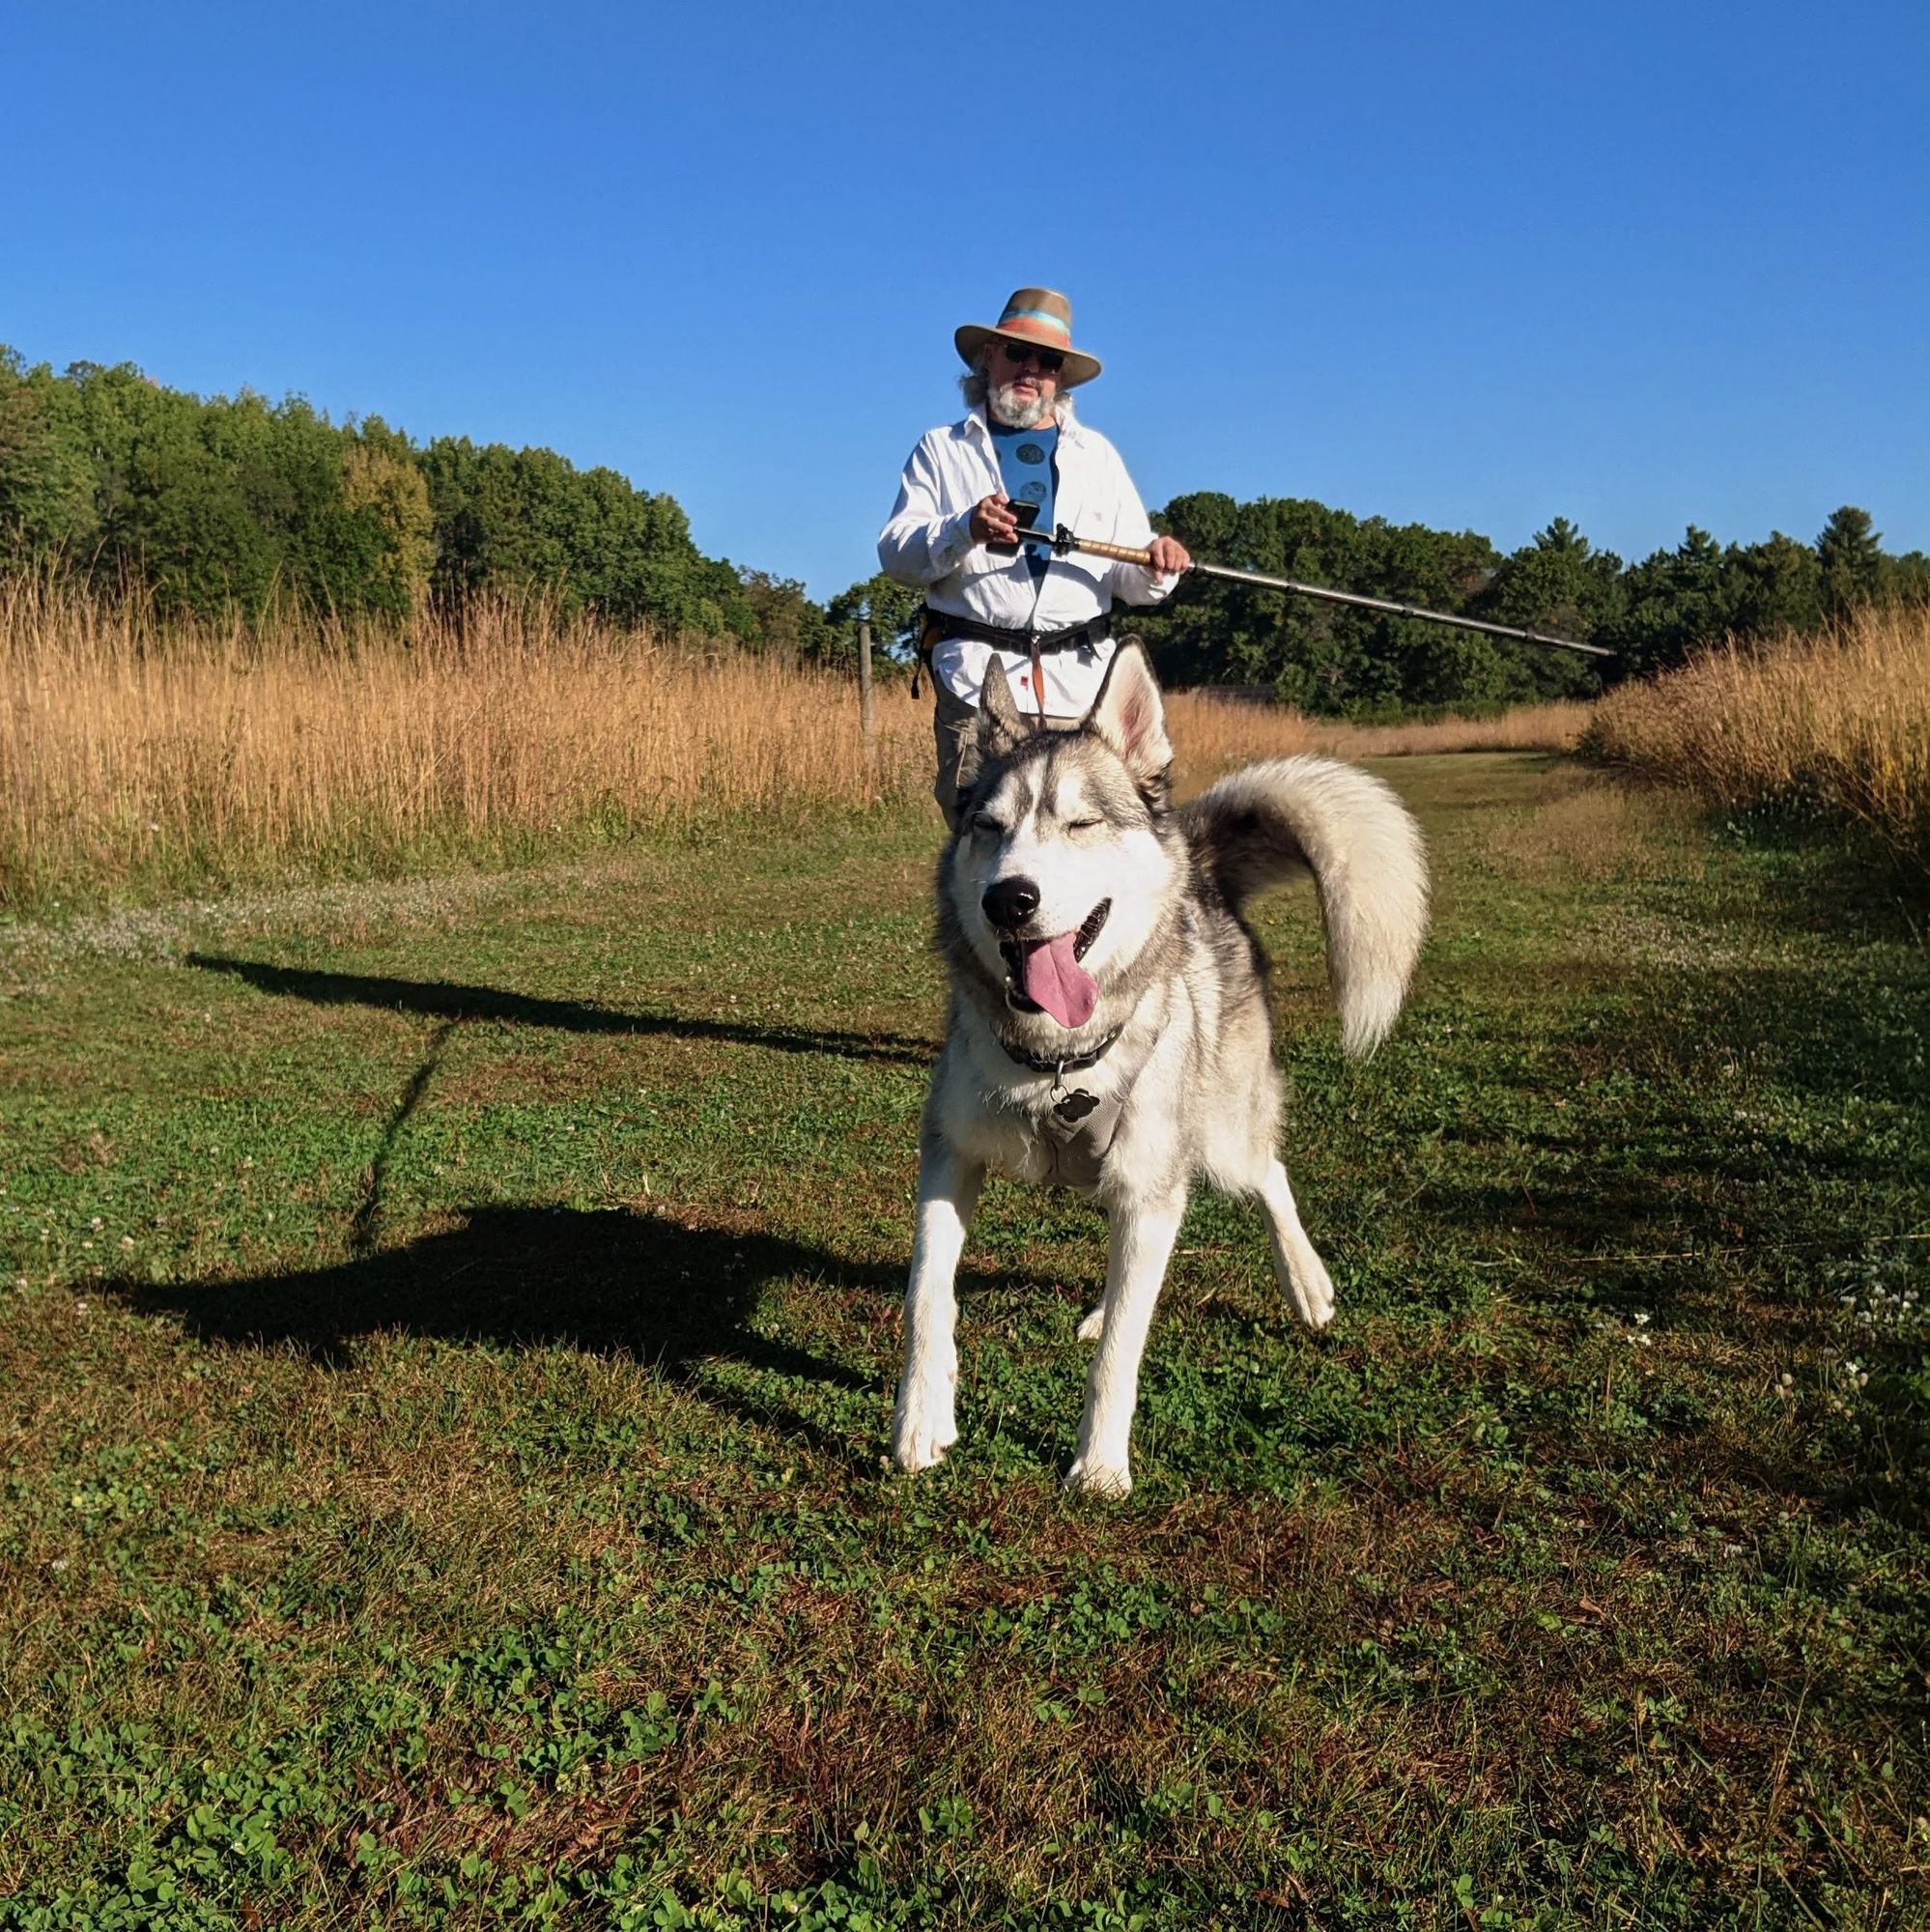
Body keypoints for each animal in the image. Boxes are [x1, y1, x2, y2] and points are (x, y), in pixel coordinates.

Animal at [893, 641, 1437, 1499]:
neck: (1056, 1062)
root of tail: (1201, 869)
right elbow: (927, 1299)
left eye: (1082, 823)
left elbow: (1123, 1348)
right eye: (988, 826)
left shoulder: (1153, 1189)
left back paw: (1305, 1283)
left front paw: (1100, 1465)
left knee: (1269, 1176)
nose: (1009, 900)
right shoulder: (949, 1158)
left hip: (1219, 1140)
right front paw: (922, 1421)